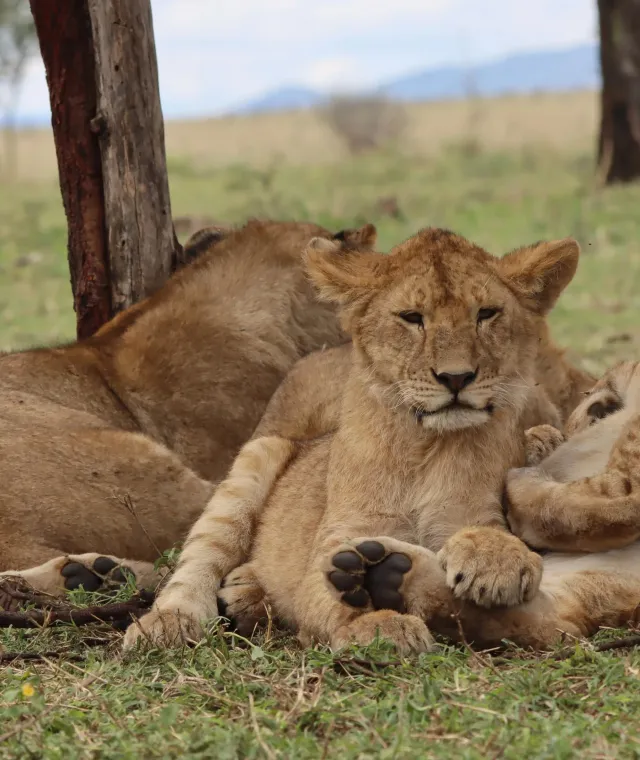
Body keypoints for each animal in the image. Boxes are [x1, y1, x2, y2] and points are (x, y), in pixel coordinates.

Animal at [124, 226, 593, 653]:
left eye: (486, 314)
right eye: (412, 318)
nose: (457, 377)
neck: (426, 446)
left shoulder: (475, 508)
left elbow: (482, 532)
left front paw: (494, 561)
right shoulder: (341, 537)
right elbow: (327, 591)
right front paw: (379, 625)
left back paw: (247, 592)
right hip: (256, 460)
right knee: (200, 557)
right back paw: (169, 622)